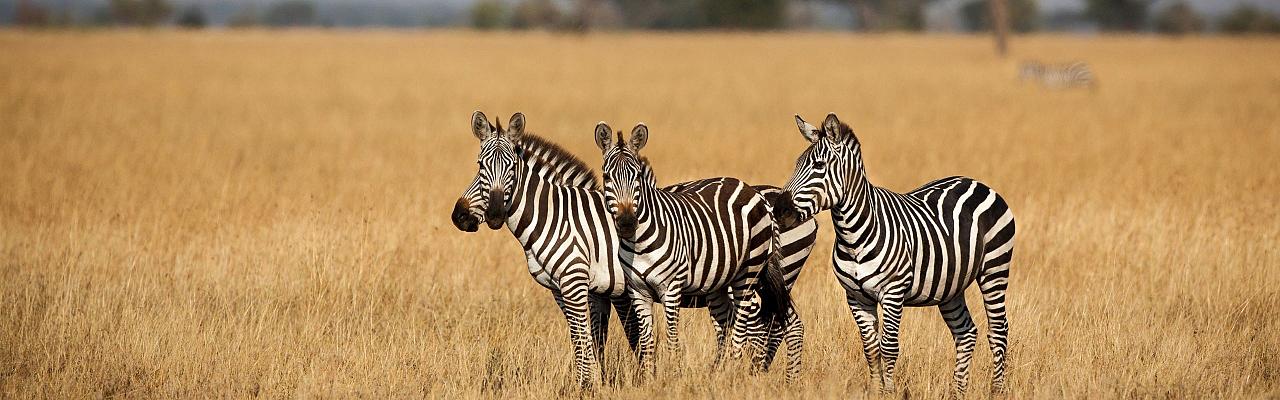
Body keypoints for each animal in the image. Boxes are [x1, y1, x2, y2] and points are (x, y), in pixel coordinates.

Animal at [593, 121, 793, 376]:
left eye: (637, 175)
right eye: (606, 176)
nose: (627, 223)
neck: (639, 244)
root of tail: (750, 189)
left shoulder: (671, 288)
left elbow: (671, 338)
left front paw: (672, 375)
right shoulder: (638, 292)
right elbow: (647, 342)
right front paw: (649, 377)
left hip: (748, 273)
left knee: (742, 327)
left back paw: (733, 373)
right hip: (718, 282)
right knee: (726, 325)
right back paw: (719, 373)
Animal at [768, 112, 1018, 397]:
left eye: (819, 166)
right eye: (797, 164)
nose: (779, 210)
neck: (853, 235)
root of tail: (976, 182)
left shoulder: (893, 293)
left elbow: (888, 348)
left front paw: (888, 392)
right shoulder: (856, 297)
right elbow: (870, 348)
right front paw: (876, 391)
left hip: (995, 269)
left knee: (998, 331)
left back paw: (996, 391)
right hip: (950, 286)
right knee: (966, 333)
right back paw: (958, 392)